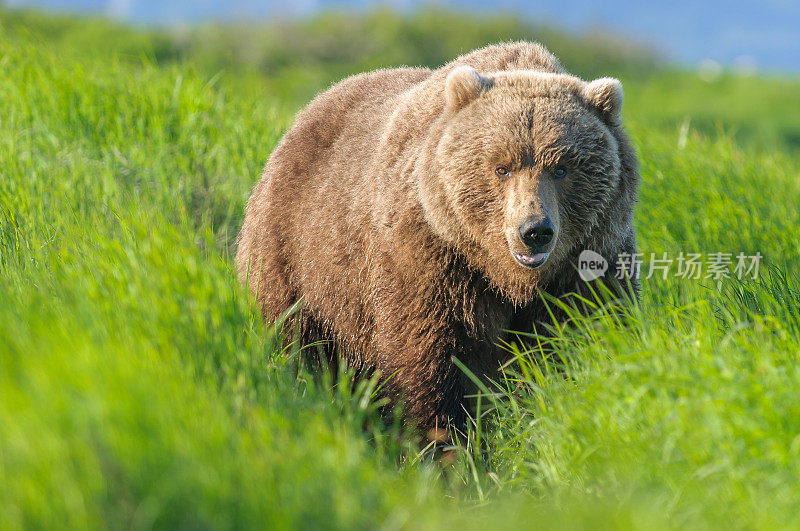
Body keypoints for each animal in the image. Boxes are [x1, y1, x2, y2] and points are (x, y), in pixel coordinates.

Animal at [234, 40, 640, 432]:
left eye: (561, 168)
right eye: (501, 167)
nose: (534, 231)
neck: (505, 276)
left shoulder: (587, 262)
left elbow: (581, 338)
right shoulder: (432, 260)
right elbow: (431, 363)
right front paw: (446, 440)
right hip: (299, 261)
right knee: (299, 345)